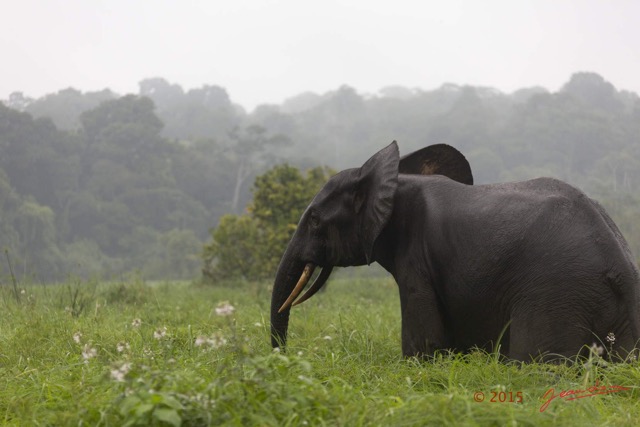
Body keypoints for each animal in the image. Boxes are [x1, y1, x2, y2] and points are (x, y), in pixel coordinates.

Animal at [270, 141, 640, 362]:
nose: (284, 359)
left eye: (314, 220)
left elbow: (424, 341)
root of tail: (620, 268)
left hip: (556, 294)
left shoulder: (416, 258)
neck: (395, 180)